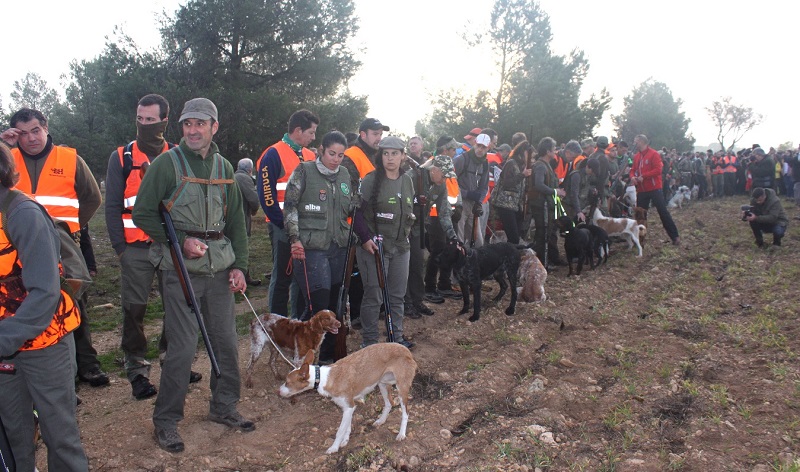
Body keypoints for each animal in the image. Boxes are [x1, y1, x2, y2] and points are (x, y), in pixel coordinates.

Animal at [280, 342, 418, 454]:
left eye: (287, 382)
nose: (278, 391)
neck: (324, 377)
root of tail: (406, 350)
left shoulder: (348, 407)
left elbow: (340, 430)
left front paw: (334, 448)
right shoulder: (349, 407)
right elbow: (347, 427)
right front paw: (345, 440)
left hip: (401, 389)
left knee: (406, 412)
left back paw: (401, 434)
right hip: (382, 383)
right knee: (389, 403)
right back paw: (381, 421)